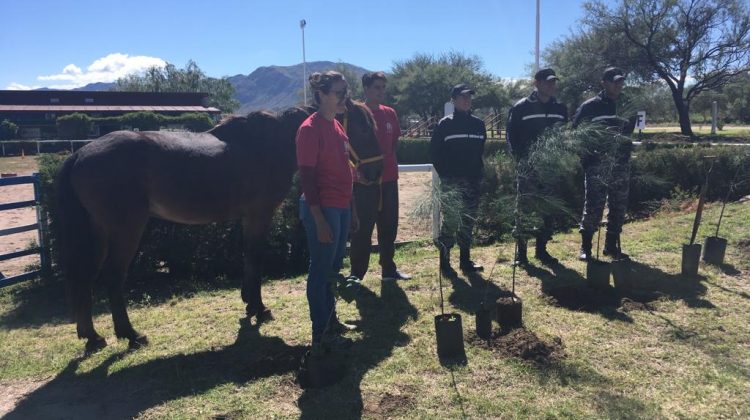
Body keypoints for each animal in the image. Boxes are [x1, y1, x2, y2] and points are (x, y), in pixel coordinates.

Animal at [56, 100, 382, 352]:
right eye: (364, 127)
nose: (376, 173)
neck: (269, 145)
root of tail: (80, 153)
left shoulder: (248, 218)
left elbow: (248, 258)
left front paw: (249, 303)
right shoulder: (259, 215)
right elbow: (255, 257)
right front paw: (259, 308)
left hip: (98, 232)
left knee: (85, 276)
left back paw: (92, 336)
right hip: (126, 230)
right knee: (112, 277)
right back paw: (130, 334)